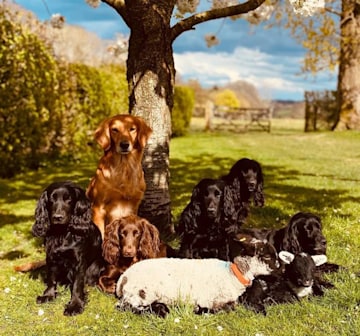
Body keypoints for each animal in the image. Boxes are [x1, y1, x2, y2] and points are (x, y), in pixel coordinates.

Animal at [31, 181, 105, 316]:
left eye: (68, 199)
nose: (57, 217)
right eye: (52, 199)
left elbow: (77, 285)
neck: (62, 233)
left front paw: (75, 305)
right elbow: (51, 278)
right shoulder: (51, 257)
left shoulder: (79, 262)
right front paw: (48, 295)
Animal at [115, 234, 282, 318]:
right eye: (267, 256)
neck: (232, 275)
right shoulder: (211, 300)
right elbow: (227, 308)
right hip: (141, 293)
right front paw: (200, 310)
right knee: (126, 307)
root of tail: (124, 278)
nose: (281, 270)